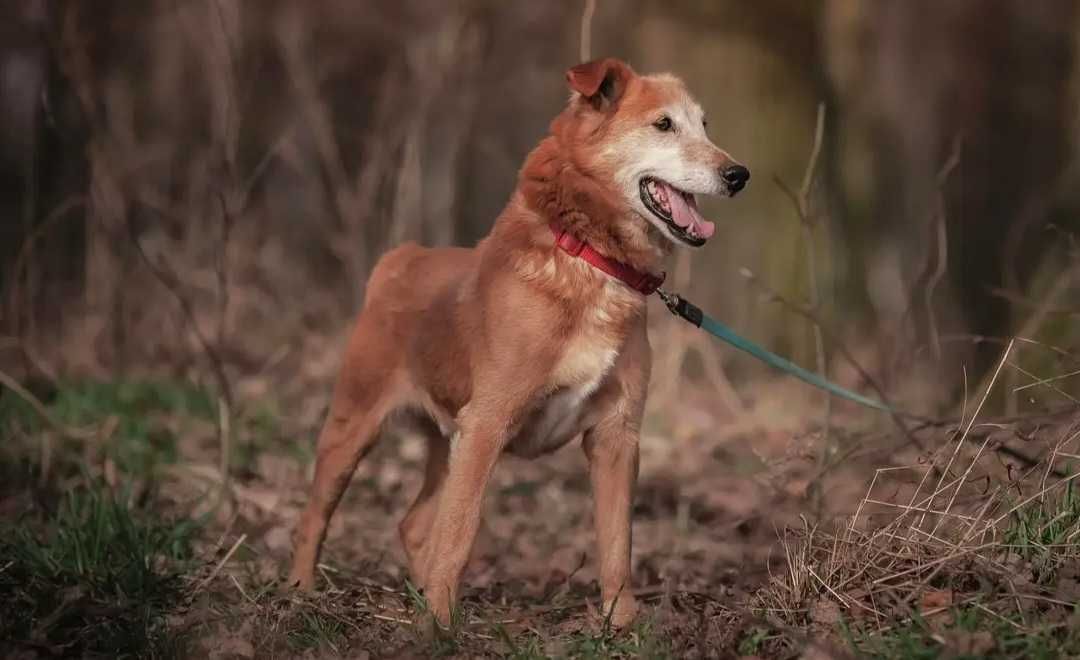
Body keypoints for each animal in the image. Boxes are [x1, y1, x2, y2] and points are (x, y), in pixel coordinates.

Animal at [289, 58, 751, 630]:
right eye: (663, 125)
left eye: (704, 126)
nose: (739, 175)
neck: (589, 256)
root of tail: (403, 258)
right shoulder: (487, 426)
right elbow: (460, 532)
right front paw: (438, 627)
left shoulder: (617, 436)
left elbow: (617, 542)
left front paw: (621, 624)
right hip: (355, 427)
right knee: (316, 516)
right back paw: (300, 591)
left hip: (446, 442)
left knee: (415, 524)